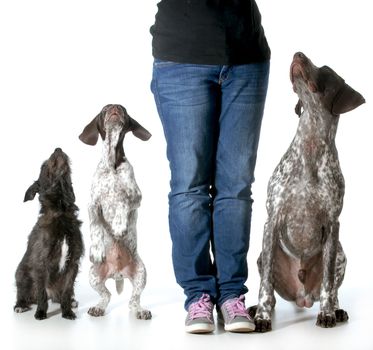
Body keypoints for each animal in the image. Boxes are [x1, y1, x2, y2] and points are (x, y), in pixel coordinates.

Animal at [13, 148, 83, 320]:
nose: (58, 149)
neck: (61, 212)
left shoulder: (73, 263)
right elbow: (42, 294)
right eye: (44, 165)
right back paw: (20, 305)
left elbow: (66, 291)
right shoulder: (40, 264)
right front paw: (40, 312)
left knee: (61, 295)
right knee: (23, 293)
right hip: (21, 274)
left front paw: (67, 312)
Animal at [79, 104, 152, 320]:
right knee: (106, 295)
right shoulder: (92, 204)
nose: (114, 107)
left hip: (141, 273)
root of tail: (118, 274)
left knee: (133, 301)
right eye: (104, 110)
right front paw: (96, 250)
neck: (112, 162)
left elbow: (122, 200)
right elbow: (95, 226)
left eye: (124, 110)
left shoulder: (136, 196)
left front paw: (119, 225)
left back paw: (140, 311)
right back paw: (98, 308)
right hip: (94, 275)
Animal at [253, 52, 364, 330]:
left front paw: (326, 314)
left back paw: (336, 310)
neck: (311, 145)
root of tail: (302, 297)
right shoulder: (272, 220)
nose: (298, 54)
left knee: (334, 290)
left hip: (341, 255)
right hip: (262, 255)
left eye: (326, 70)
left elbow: (328, 284)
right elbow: (265, 287)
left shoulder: (333, 224)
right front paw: (262, 317)